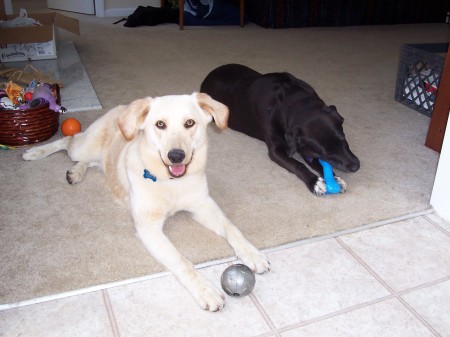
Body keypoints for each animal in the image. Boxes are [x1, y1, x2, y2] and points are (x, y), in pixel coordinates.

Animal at [22, 92, 270, 310]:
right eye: (160, 124)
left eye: (190, 122)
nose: (176, 156)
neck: (171, 182)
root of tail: (123, 107)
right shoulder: (149, 227)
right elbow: (182, 261)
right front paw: (205, 291)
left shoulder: (203, 205)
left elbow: (232, 229)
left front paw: (252, 253)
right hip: (84, 147)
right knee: (68, 140)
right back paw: (34, 153)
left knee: (93, 163)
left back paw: (76, 172)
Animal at [202, 63, 360, 194]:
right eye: (326, 153)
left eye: (343, 139)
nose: (356, 167)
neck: (294, 101)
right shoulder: (276, 150)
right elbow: (297, 164)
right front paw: (315, 182)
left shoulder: (304, 148)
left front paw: (334, 178)